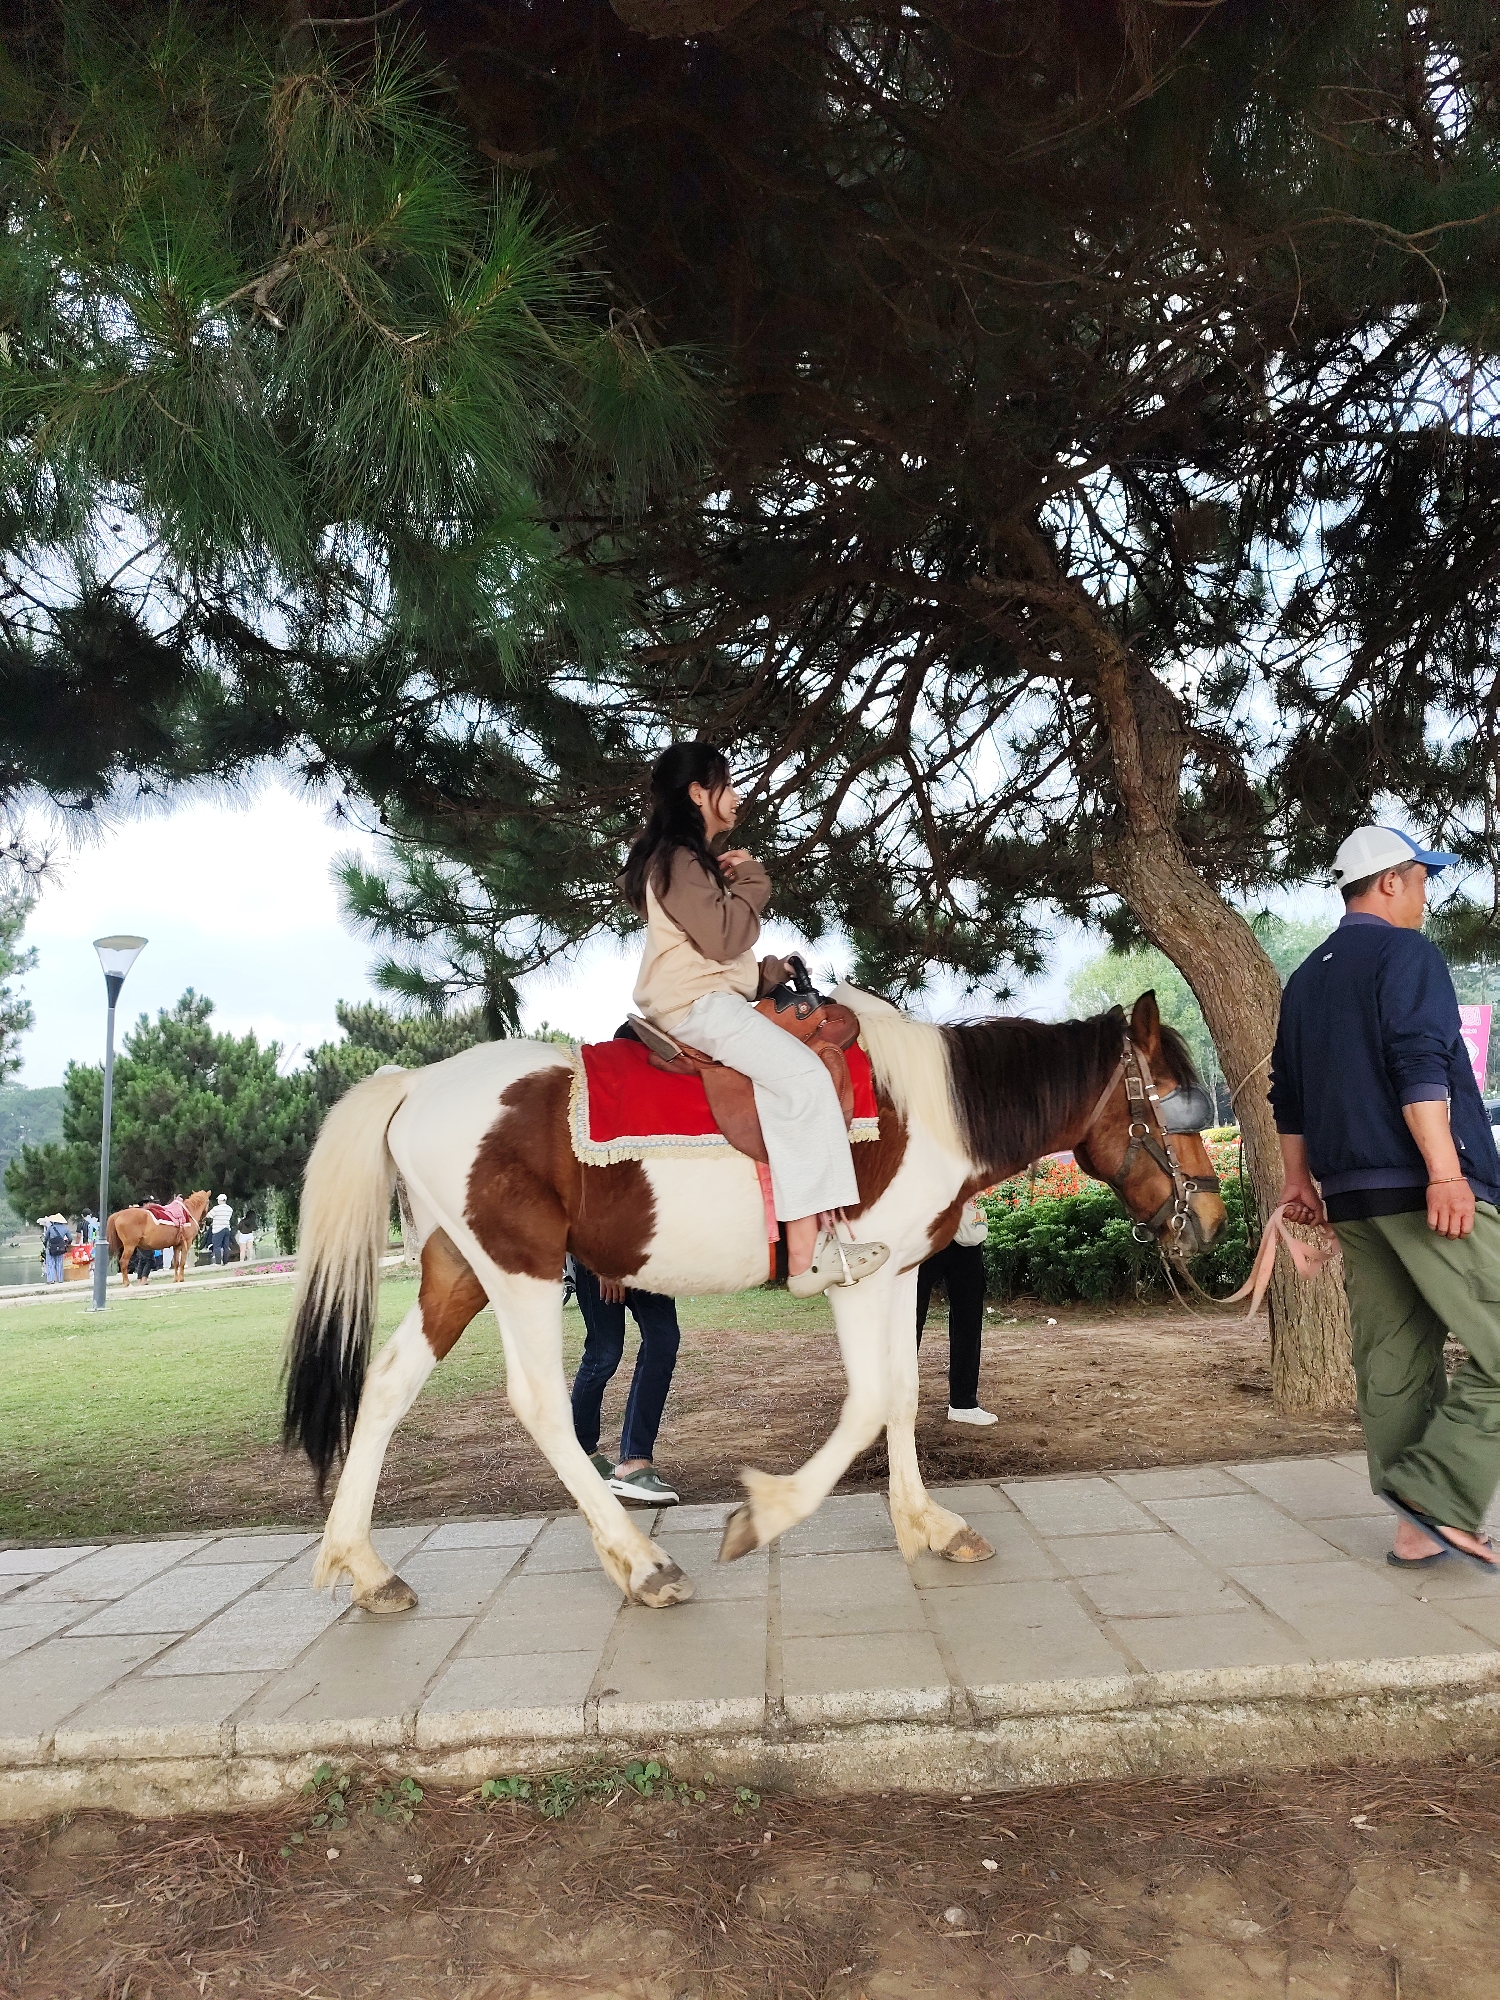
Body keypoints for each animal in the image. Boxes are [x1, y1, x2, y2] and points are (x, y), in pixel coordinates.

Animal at [283, 987, 1225, 1613]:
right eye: (1176, 1103)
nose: (1212, 1218)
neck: (931, 1109)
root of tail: (417, 1082)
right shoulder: (856, 1276)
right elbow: (870, 1402)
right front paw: (766, 1516)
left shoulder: (900, 1274)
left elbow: (903, 1397)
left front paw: (926, 1521)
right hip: (521, 1268)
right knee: (543, 1404)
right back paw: (641, 1561)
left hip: (459, 1267)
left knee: (388, 1383)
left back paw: (365, 1564)